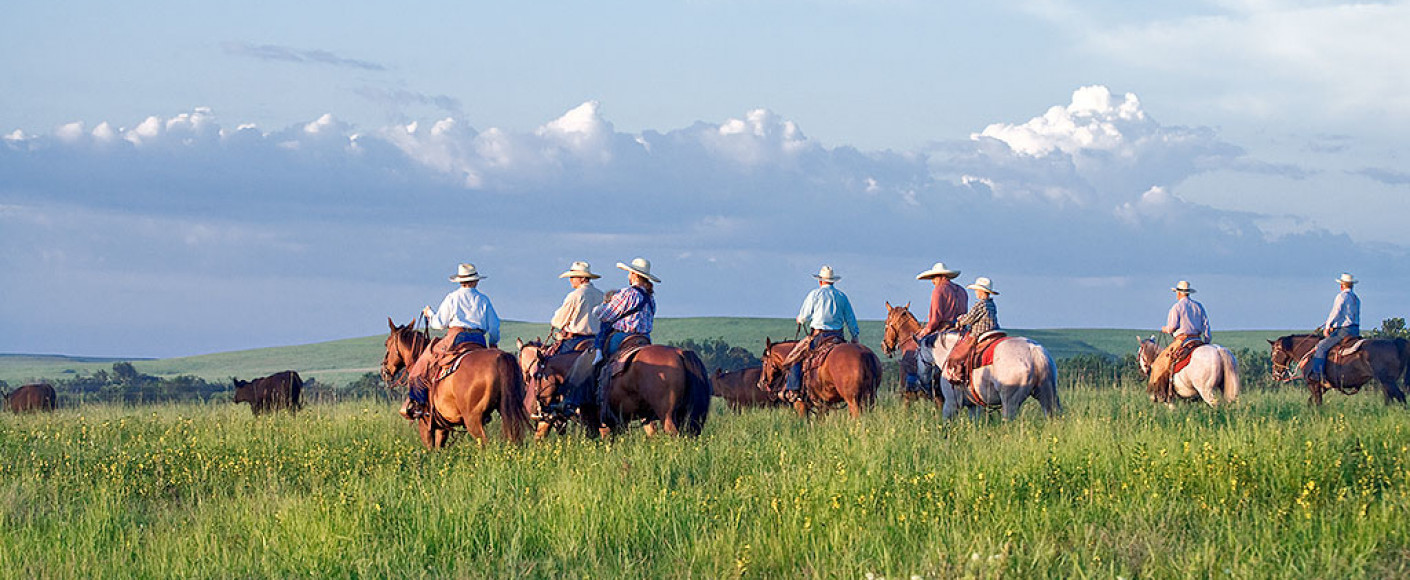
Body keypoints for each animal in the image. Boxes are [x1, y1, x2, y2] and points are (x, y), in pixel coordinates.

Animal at [377, 317, 530, 448]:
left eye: (386, 343)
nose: (384, 370)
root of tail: (501, 357)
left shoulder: (425, 423)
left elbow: (430, 448)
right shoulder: (441, 427)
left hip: (473, 419)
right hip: (507, 411)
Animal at [1274, 334, 1404, 406]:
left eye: (1274, 354)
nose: (1275, 375)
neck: (1309, 352)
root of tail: (1394, 343)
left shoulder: (1313, 384)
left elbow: (1317, 402)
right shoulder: (1323, 387)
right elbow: (1311, 402)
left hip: (1387, 382)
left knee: (1400, 397)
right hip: (1385, 383)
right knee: (1390, 398)